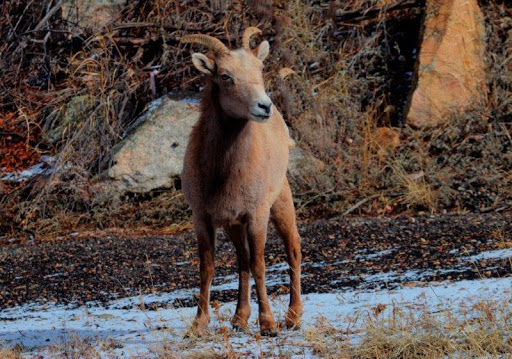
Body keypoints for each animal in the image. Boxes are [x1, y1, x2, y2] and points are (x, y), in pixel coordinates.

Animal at [180, 28, 302, 338]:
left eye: (259, 69)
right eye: (225, 76)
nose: (264, 106)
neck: (222, 174)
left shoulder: (256, 215)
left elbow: (260, 264)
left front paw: (269, 325)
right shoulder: (203, 218)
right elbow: (208, 268)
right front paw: (197, 326)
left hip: (280, 204)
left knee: (293, 250)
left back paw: (293, 318)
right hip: (233, 225)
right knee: (242, 261)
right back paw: (239, 320)